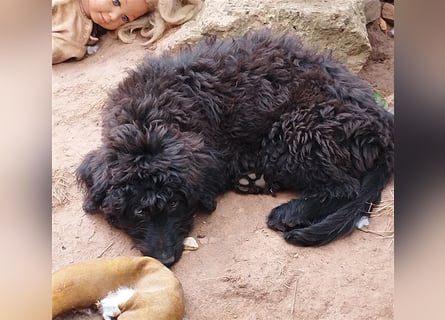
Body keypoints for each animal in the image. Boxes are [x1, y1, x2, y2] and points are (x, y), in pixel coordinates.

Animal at [76, 28, 392, 266]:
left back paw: (289, 213)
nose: (166, 260)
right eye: (139, 211)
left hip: (294, 131)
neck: (149, 117)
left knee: (344, 187)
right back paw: (255, 181)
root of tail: (382, 123)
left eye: (175, 203)